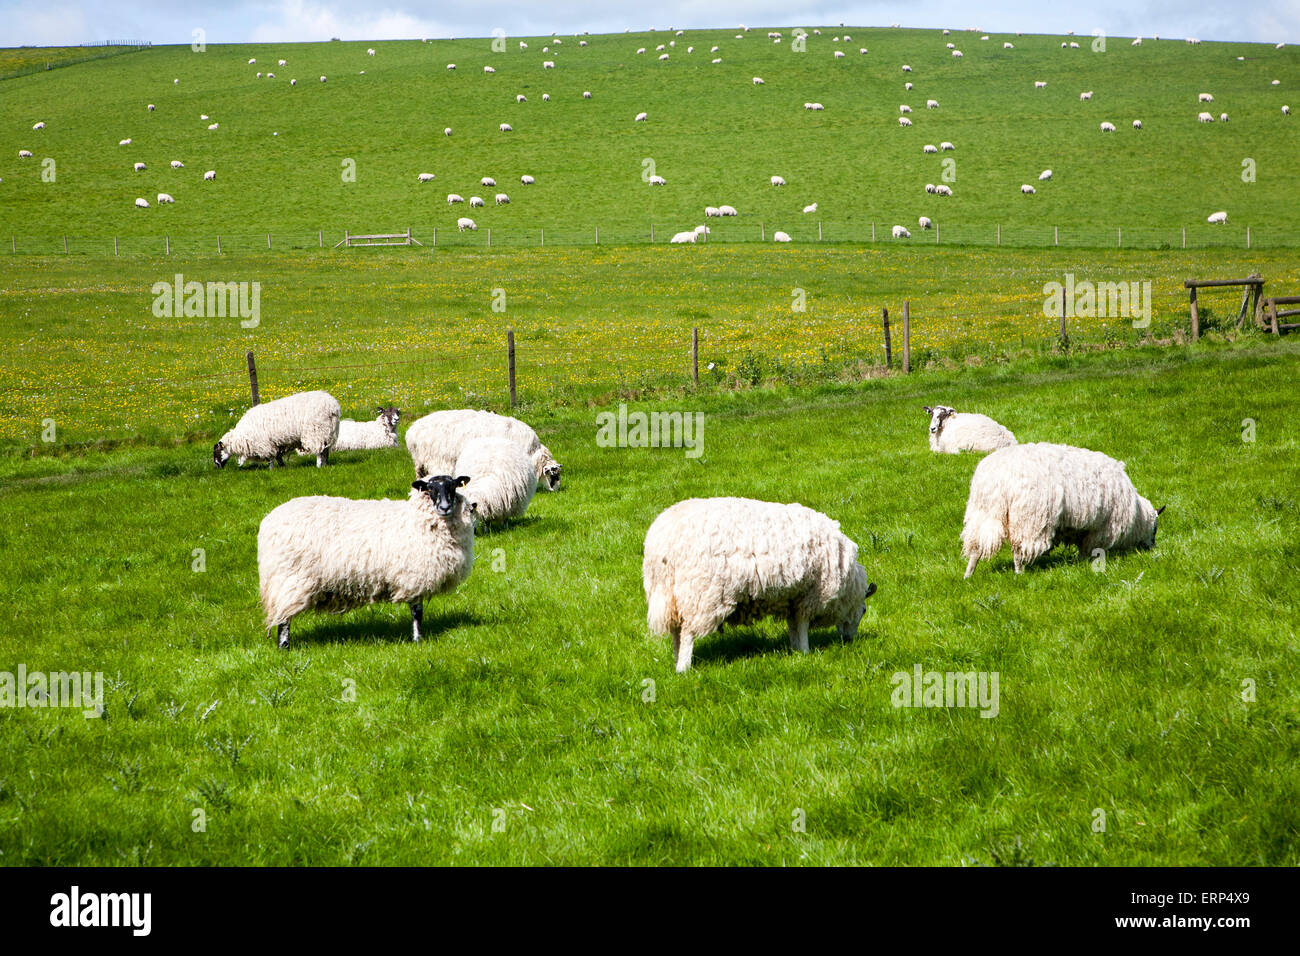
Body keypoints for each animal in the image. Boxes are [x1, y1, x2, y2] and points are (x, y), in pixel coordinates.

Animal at [256, 473, 475, 647]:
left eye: (453, 486)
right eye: (430, 489)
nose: (445, 507)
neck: (416, 520)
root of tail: (268, 522)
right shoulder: (414, 575)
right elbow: (417, 612)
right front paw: (417, 640)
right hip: (288, 578)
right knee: (283, 619)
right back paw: (284, 647)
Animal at [405, 408, 564, 489]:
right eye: (554, 476)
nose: (556, 490)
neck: (532, 453)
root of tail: (412, 432)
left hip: (420, 463)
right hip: (438, 459)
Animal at [639, 502, 873, 671]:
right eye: (863, 611)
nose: (849, 640)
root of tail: (661, 541)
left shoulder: (792, 598)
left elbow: (793, 626)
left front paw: (796, 650)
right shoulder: (810, 596)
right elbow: (803, 625)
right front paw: (806, 652)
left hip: (671, 595)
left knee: (676, 632)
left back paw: (676, 660)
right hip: (700, 595)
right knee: (688, 633)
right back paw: (684, 668)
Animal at [961, 442, 1164, 574]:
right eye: (1155, 528)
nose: (1152, 547)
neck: (1137, 515)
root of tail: (998, 478)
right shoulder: (1101, 529)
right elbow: (1088, 549)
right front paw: (1084, 563)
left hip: (982, 514)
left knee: (976, 547)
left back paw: (968, 574)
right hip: (1028, 519)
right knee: (1019, 550)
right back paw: (1019, 573)